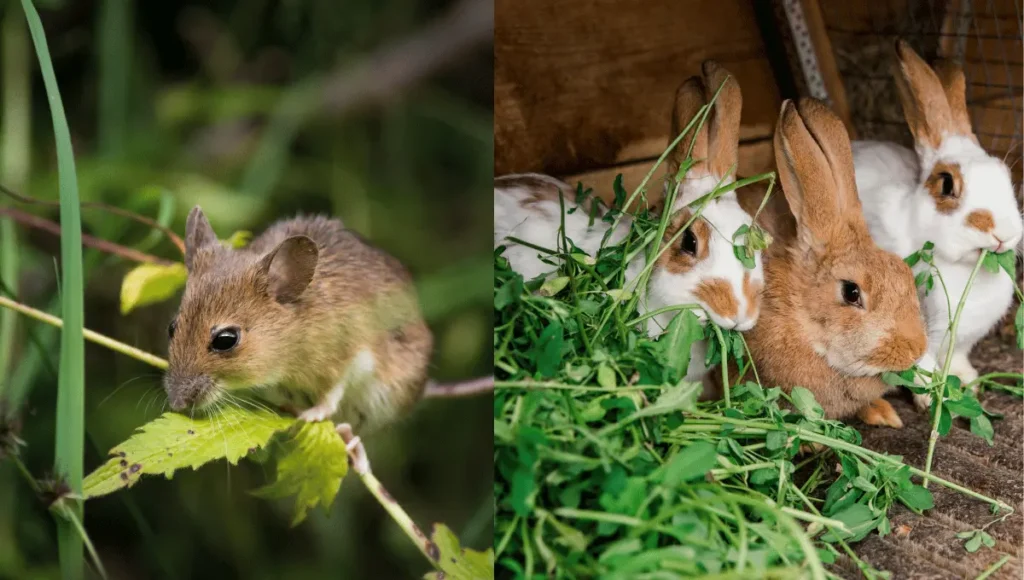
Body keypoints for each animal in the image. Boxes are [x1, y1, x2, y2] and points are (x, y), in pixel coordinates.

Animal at [847, 42, 1024, 409]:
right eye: (946, 184)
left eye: (1006, 175)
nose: (1004, 233)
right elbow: (918, 365)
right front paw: (931, 398)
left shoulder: (962, 341)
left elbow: (957, 358)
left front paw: (966, 382)